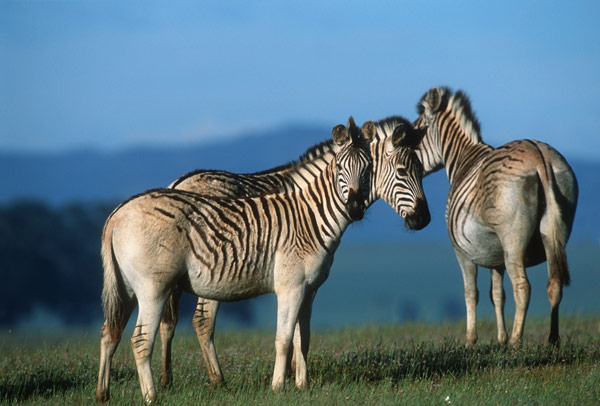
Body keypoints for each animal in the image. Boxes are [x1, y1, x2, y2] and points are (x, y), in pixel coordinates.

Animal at [96, 117, 428, 402]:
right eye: (339, 168)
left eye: (369, 168)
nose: (423, 219)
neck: (310, 217)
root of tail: (116, 215)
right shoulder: (290, 287)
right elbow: (283, 338)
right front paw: (278, 387)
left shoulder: (308, 290)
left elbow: (303, 338)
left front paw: (302, 386)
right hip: (153, 289)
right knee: (141, 341)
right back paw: (153, 396)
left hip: (125, 288)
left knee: (109, 333)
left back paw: (103, 393)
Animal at [412, 86, 576, 346]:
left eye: (414, 133)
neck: (464, 159)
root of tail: (538, 155)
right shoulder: (494, 256)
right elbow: (497, 295)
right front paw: (500, 338)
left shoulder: (463, 252)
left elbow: (471, 293)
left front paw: (471, 340)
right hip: (554, 233)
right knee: (554, 283)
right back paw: (552, 340)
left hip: (513, 240)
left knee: (523, 287)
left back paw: (516, 342)